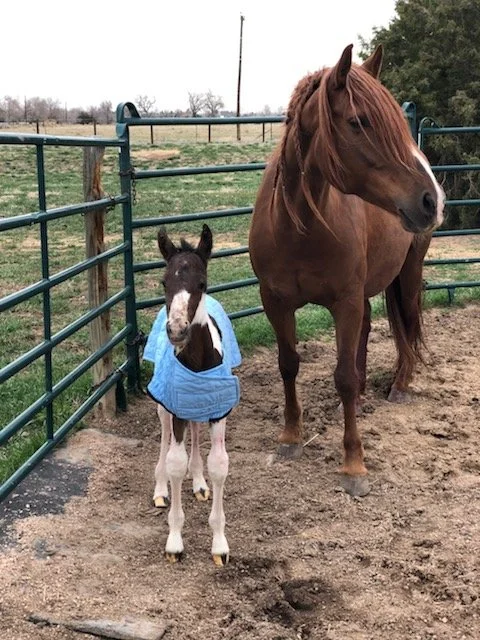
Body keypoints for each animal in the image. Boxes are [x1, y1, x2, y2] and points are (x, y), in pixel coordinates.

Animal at [143, 224, 241, 565]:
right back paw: (160, 489)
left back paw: (198, 483)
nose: (177, 330)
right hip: (165, 403)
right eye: (164, 282)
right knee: (162, 435)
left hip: (199, 405)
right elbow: (175, 462)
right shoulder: (176, 407)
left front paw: (220, 545)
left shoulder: (219, 410)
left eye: (202, 283)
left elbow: (219, 465)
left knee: (196, 432)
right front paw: (174, 542)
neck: (198, 361)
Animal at [249, 44, 445, 497]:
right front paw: (291, 437)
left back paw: (400, 386)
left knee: (408, 323)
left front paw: (354, 464)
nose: (432, 200)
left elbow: (344, 378)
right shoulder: (275, 301)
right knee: (370, 328)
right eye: (358, 121)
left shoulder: (345, 302)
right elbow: (289, 363)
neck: (298, 225)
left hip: (407, 274)